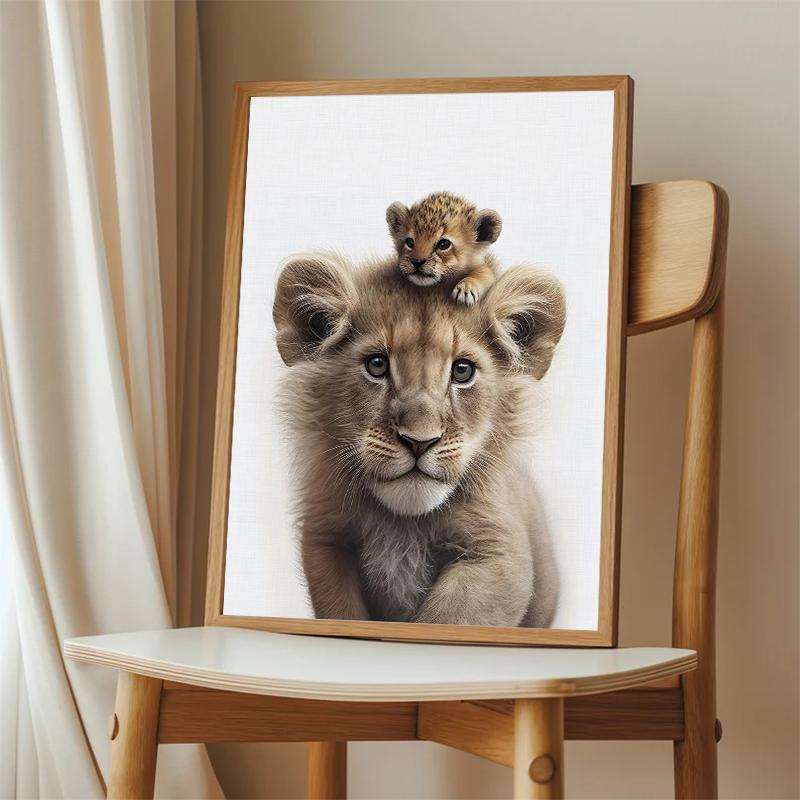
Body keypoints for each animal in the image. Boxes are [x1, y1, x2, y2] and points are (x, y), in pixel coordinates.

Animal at [272, 252, 566, 628]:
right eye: (377, 365)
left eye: (462, 371)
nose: (419, 441)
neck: (403, 526)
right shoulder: (327, 541)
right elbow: (343, 612)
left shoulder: (498, 552)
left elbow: (448, 620)